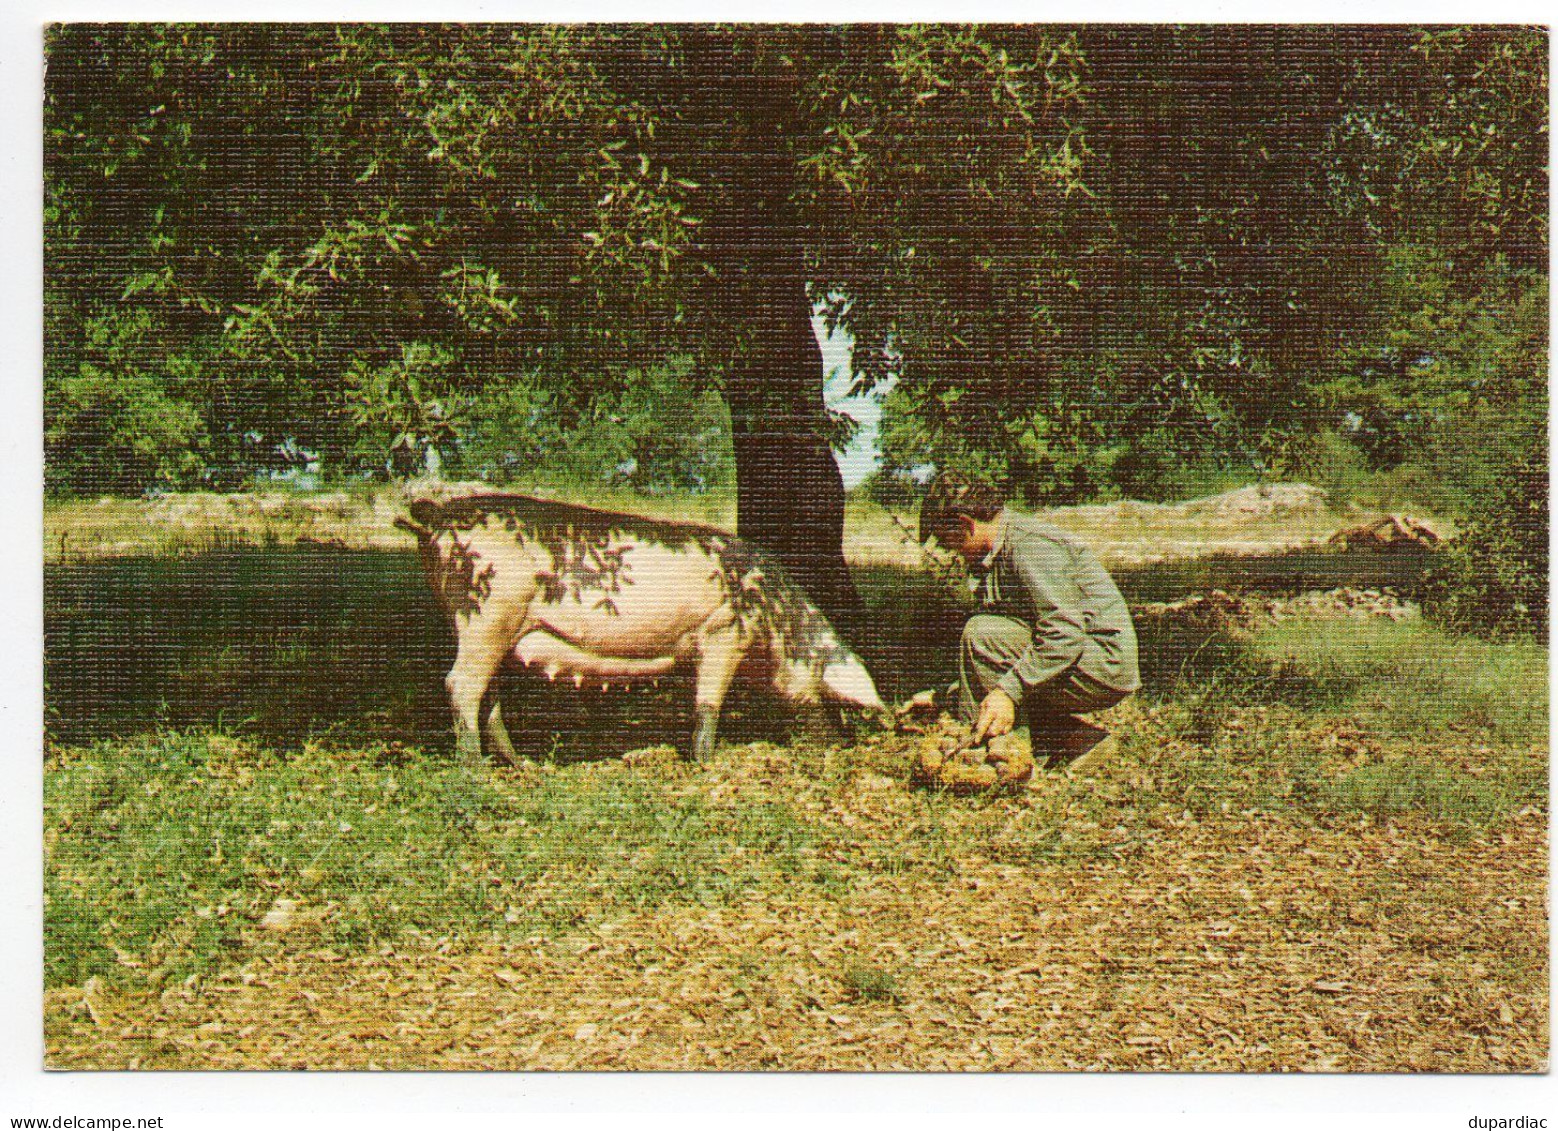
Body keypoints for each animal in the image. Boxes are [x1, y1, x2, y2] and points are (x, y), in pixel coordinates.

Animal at [395, 495, 891, 766]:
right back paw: (475, 767)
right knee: (459, 684)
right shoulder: (724, 631)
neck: (777, 619)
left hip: (495, 627)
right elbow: (709, 703)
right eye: (828, 694)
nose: (838, 744)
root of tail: (437, 517)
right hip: (485, 613)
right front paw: (707, 763)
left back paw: (524, 766)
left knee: (488, 695)